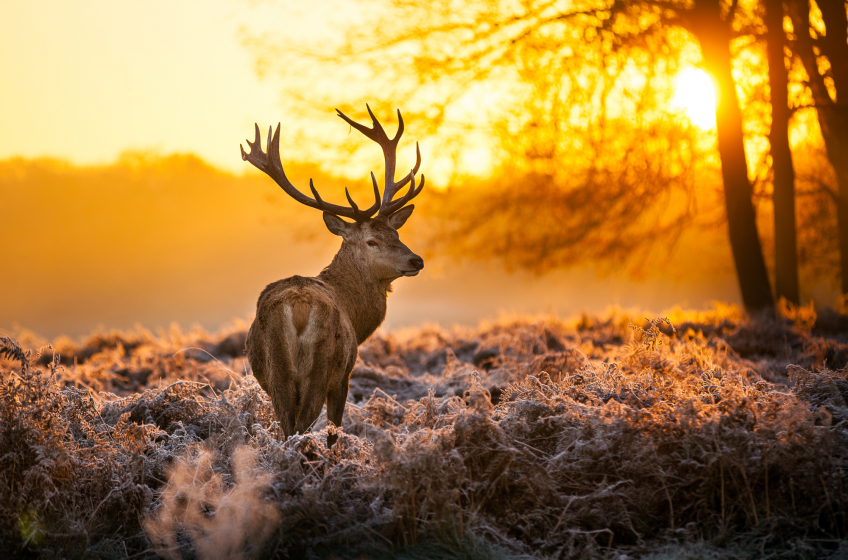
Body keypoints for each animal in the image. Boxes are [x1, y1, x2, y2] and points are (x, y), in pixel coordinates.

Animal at [238, 104, 424, 446]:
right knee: (303, 426)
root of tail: (298, 307)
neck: (356, 313)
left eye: (396, 233)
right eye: (372, 241)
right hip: (322, 366)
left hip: (276, 371)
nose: (416, 260)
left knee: (287, 427)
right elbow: (335, 430)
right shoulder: (344, 375)